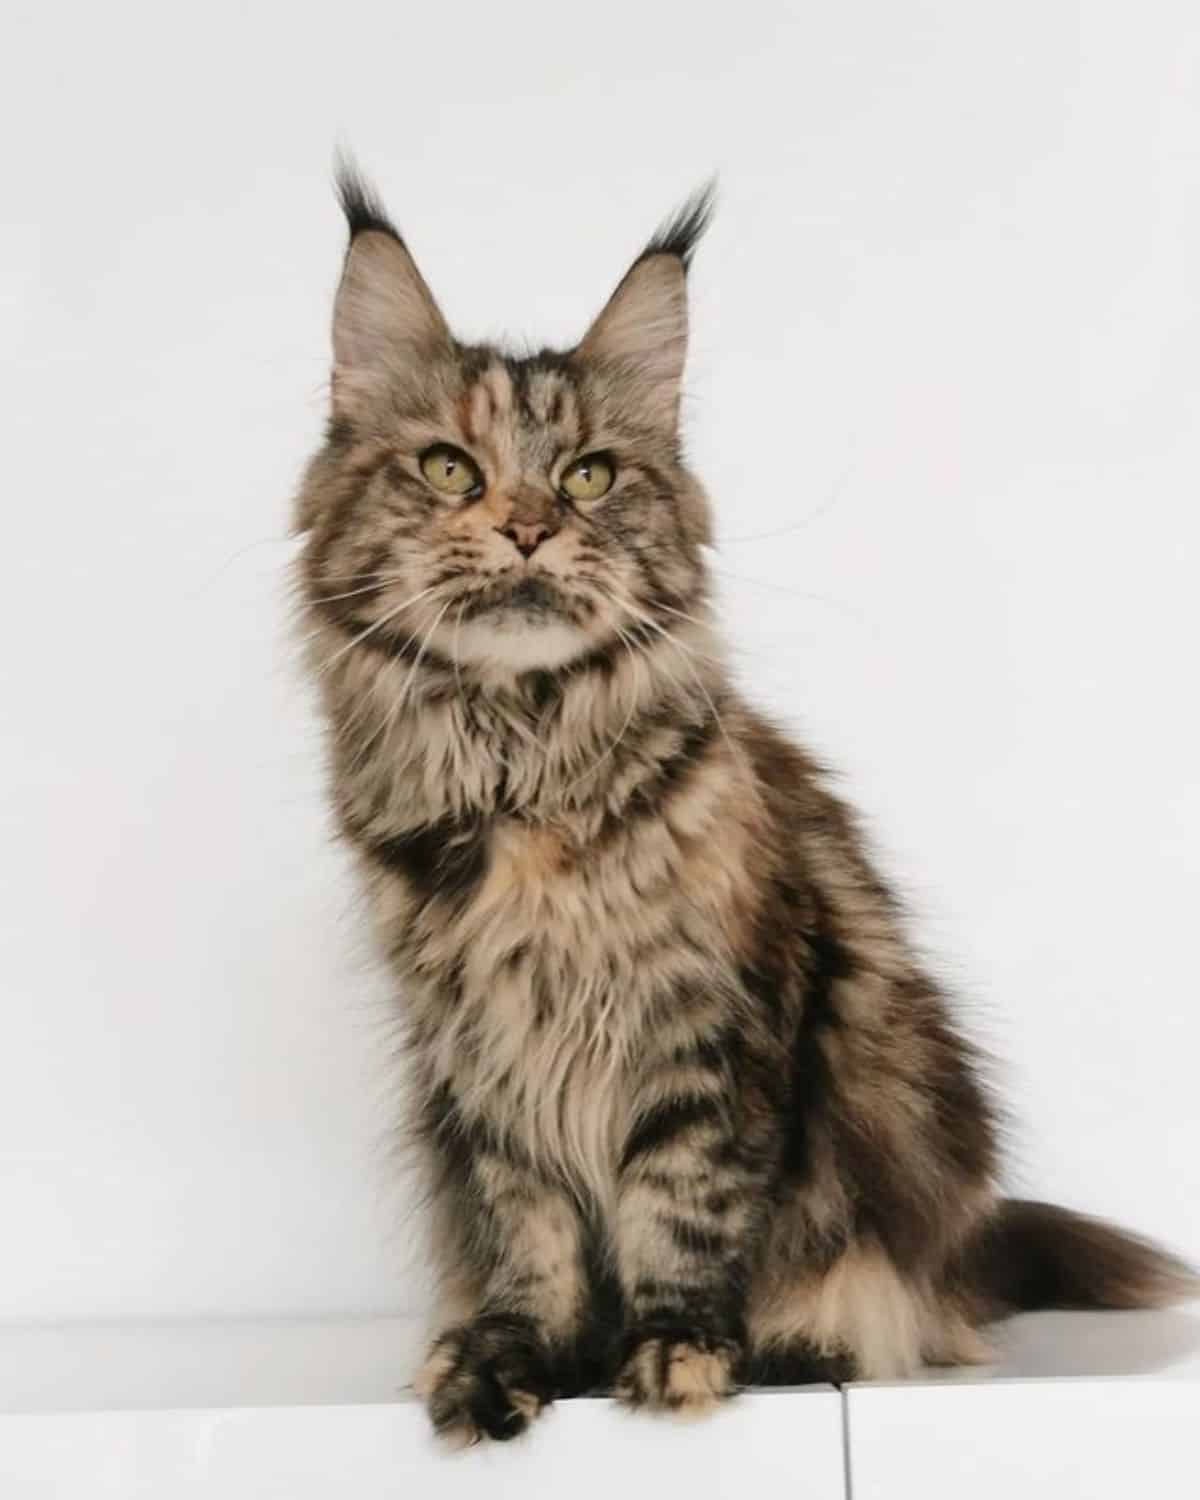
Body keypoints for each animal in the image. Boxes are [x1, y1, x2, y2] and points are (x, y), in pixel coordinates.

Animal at [288, 161, 1188, 1440]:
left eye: (589, 475)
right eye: (451, 467)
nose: (529, 526)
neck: (524, 762)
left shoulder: (711, 1029)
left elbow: (683, 1204)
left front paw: (675, 1351)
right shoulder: (482, 1058)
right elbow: (527, 1231)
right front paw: (509, 1358)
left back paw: (811, 1337)